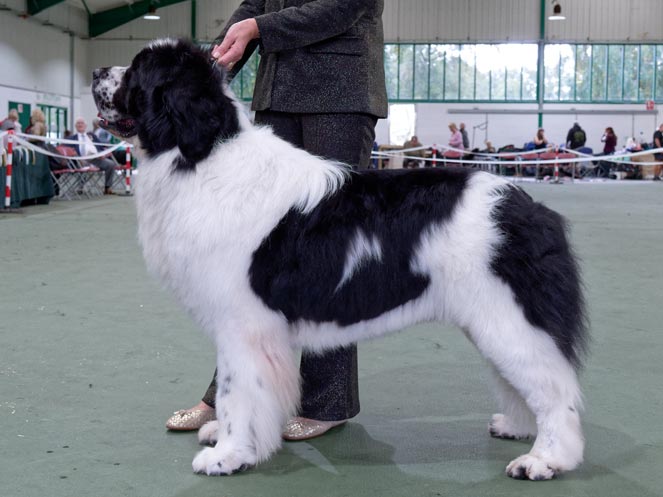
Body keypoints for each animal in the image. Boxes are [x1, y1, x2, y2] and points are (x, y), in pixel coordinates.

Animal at [94, 39, 592, 480]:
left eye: (137, 71)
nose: (97, 71)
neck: (201, 155)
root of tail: (529, 207)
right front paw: (232, 438)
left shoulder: (243, 323)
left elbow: (238, 391)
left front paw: (228, 456)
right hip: (493, 320)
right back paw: (517, 428)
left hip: (510, 317)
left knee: (555, 389)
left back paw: (545, 460)